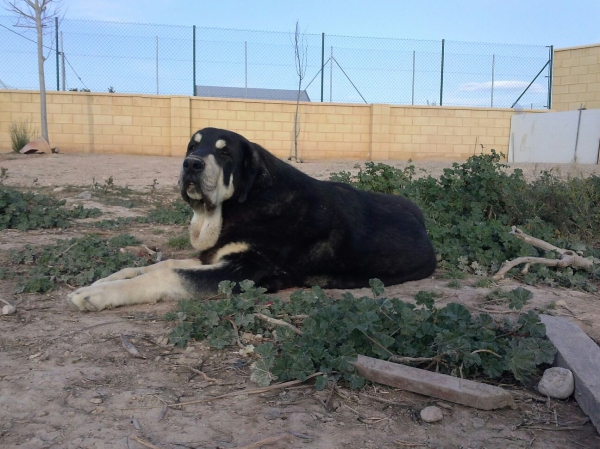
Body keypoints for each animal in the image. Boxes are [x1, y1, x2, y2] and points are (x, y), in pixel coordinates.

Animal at [67, 125, 436, 308]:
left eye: (225, 153)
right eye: (192, 147)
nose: (191, 164)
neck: (242, 202)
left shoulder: (245, 271)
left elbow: (166, 275)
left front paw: (96, 295)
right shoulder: (214, 256)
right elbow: (159, 265)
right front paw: (106, 280)